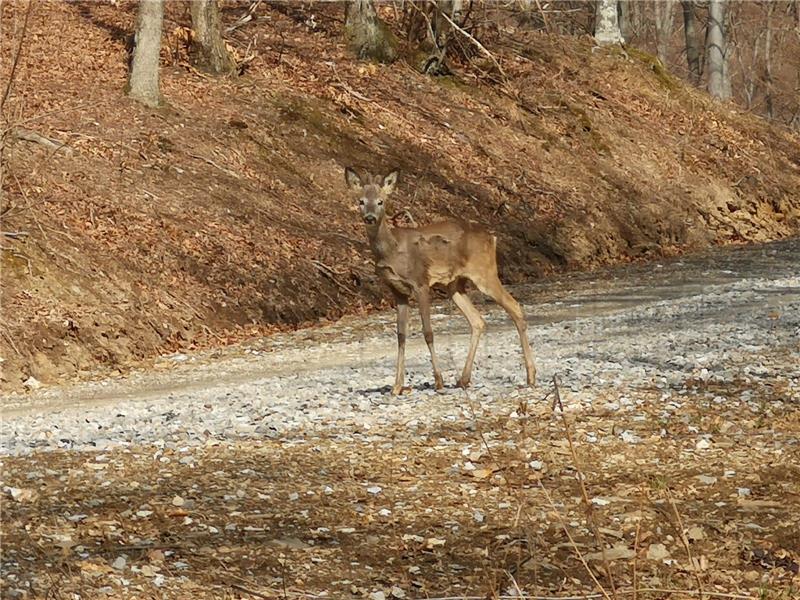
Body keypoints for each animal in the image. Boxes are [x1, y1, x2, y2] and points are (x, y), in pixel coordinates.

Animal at [344, 166, 536, 396]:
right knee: (477, 320)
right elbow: (401, 335)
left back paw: (530, 376)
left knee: (514, 307)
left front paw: (438, 381)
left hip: (485, 273)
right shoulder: (397, 291)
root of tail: (492, 237)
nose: (370, 217)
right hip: (455, 285)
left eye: (381, 201)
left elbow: (428, 332)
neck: (391, 251)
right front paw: (397, 386)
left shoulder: (421, 282)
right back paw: (463, 379)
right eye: (361, 201)